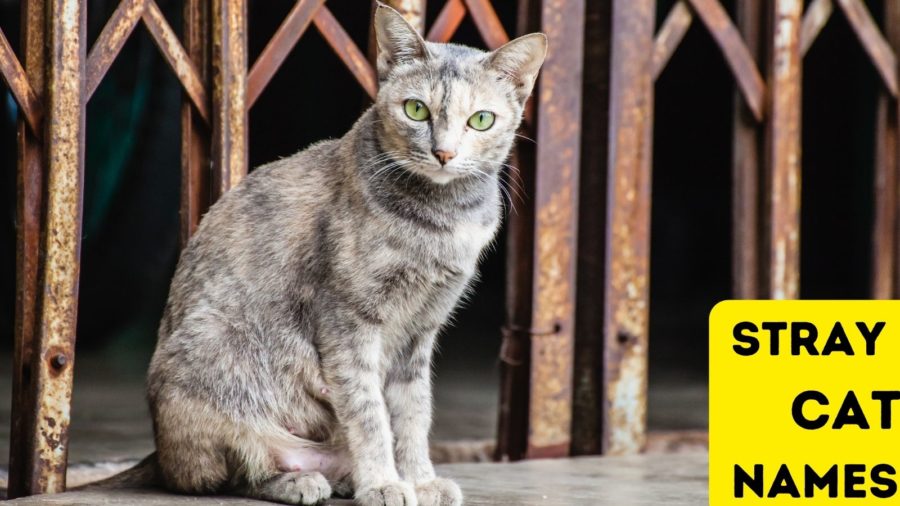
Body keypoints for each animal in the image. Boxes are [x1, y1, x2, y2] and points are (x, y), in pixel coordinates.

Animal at [143, 4, 544, 506]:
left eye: (481, 120)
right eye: (416, 109)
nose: (444, 153)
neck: (442, 221)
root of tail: (158, 456)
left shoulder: (421, 330)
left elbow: (413, 413)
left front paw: (418, 479)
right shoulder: (348, 321)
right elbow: (368, 412)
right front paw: (385, 483)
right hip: (213, 364)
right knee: (232, 473)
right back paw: (301, 481)